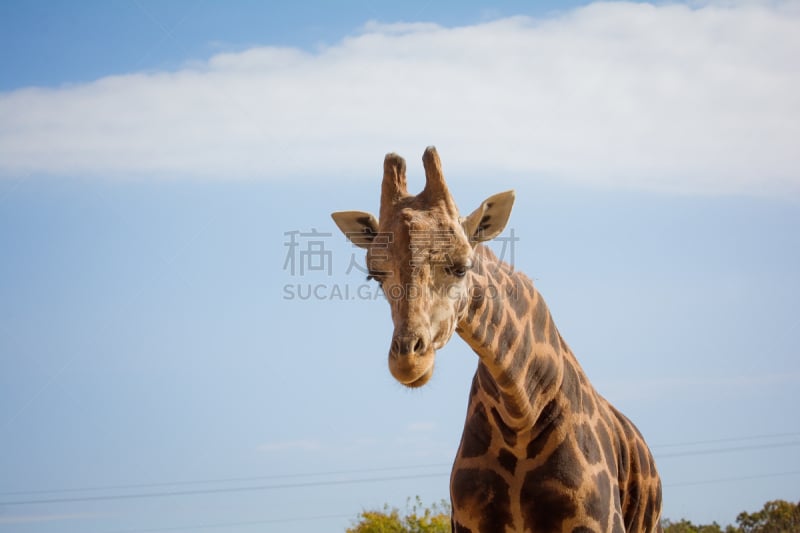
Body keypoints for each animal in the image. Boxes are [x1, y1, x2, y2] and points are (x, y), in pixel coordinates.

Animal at [332, 147, 664, 532]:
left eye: (461, 267)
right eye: (374, 275)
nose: (408, 361)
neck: (522, 410)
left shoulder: (595, 523)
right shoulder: (470, 524)